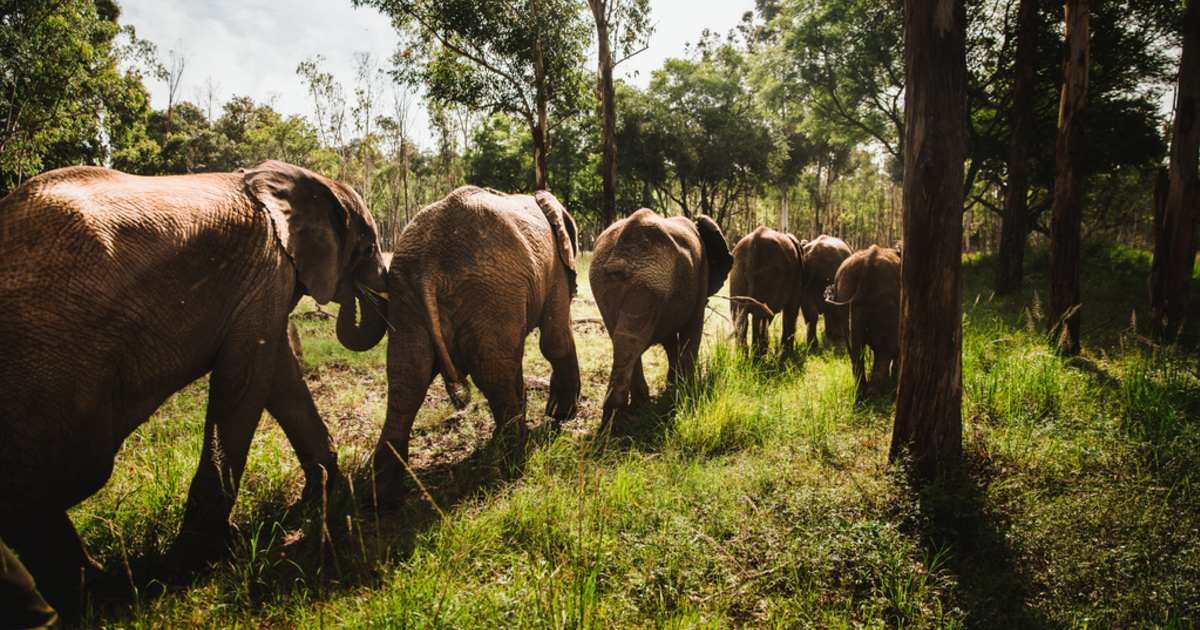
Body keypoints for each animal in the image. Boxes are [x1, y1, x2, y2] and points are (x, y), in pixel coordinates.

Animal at [0, 160, 388, 607]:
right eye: (369, 247)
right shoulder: (266, 272)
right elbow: (247, 382)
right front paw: (203, 559)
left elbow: (278, 375)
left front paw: (319, 496)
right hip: (51, 363)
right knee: (68, 475)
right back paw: (106, 591)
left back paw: (94, 590)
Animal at [368, 186, 581, 504]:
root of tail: (429, 265)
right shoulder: (554, 266)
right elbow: (556, 340)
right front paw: (561, 416)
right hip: (489, 291)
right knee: (492, 373)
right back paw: (517, 460)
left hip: (407, 297)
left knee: (407, 378)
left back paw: (386, 499)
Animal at [589, 209, 734, 427]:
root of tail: (619, 255)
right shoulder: (701, 273)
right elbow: (692, 331)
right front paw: (686, 388)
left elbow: (670, 338)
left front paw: (675, 385)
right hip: (652, 282)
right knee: (632, 339)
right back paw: (624, 414)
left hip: (615, 283)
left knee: (624, 339)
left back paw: (620, 416)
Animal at [729, 226, 805, 357]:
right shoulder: (797, 276)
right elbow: (792, 309)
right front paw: (788, 354)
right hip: (771, 275)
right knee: (762, 319)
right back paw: (759, 361)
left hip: (737, 274)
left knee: (739, 316)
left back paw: (743, 359)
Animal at [825, 245, 902, 397]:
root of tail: (869, 261)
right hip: (887, 299)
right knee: (883, 350)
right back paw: (874, 394)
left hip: (846, 293)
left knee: (855, 349)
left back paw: (861, 391)